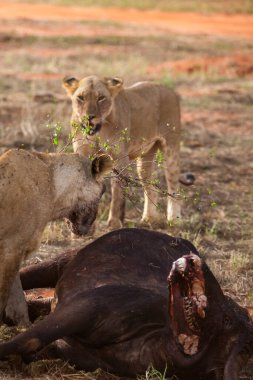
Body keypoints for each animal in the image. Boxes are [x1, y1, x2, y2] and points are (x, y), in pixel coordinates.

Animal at [0, 229, 253, 380]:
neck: (152, 342)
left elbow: (31, 345)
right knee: (23, 276)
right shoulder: (87, 306)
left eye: (227, 320)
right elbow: (30, 339)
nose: (193, 257)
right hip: (60, 261)